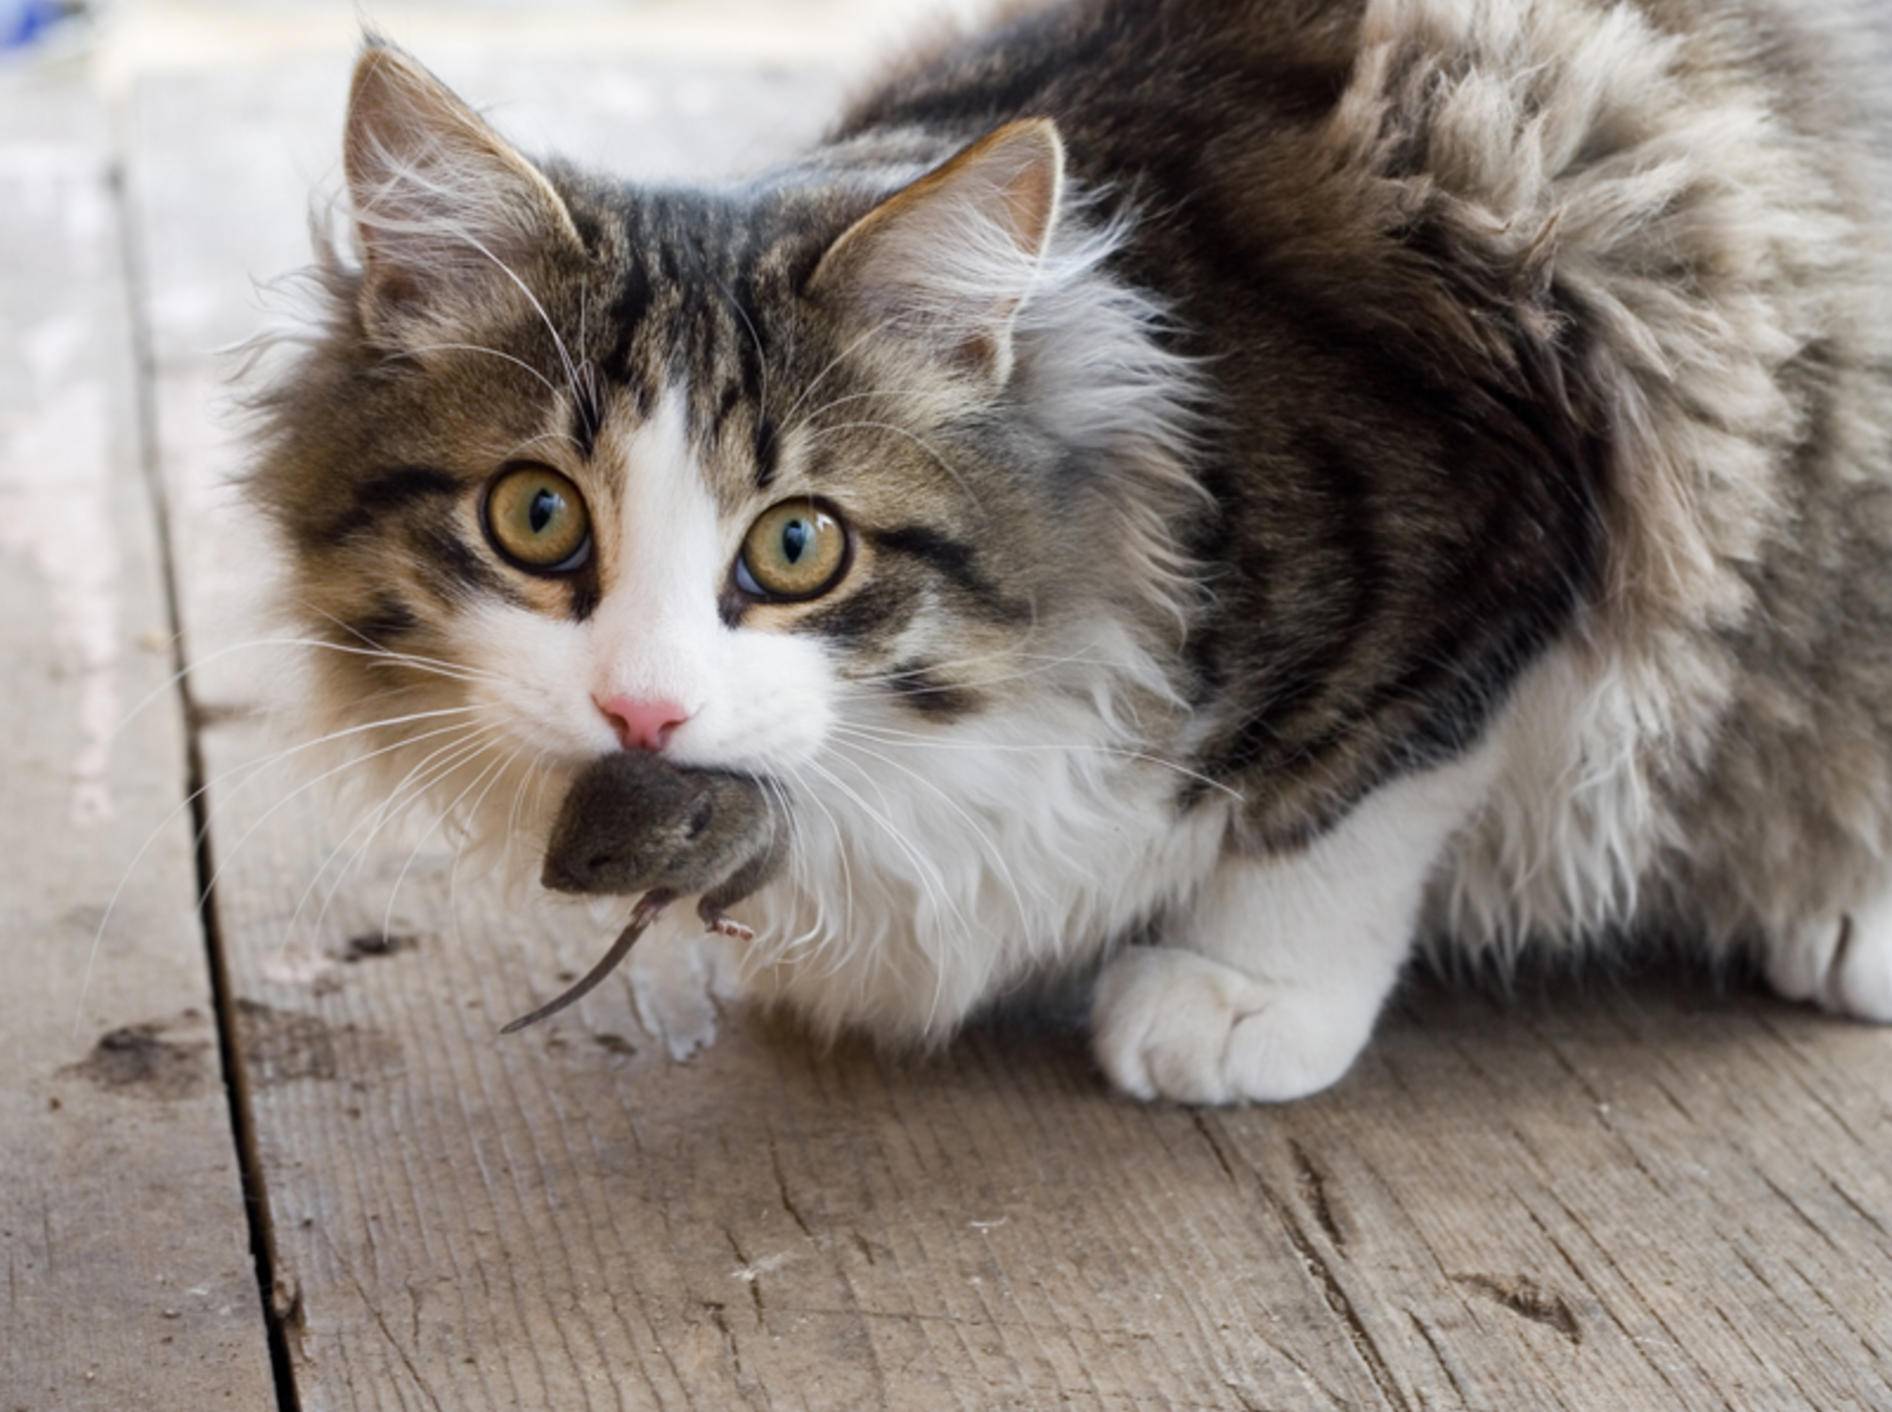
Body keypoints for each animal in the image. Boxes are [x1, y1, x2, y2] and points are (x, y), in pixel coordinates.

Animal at [244, 0, 1892, 1097]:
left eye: (798, 545)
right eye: (537, 516)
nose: (641, 710)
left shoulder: (1511, 514)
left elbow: (1347, 805)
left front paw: (1241, 998)